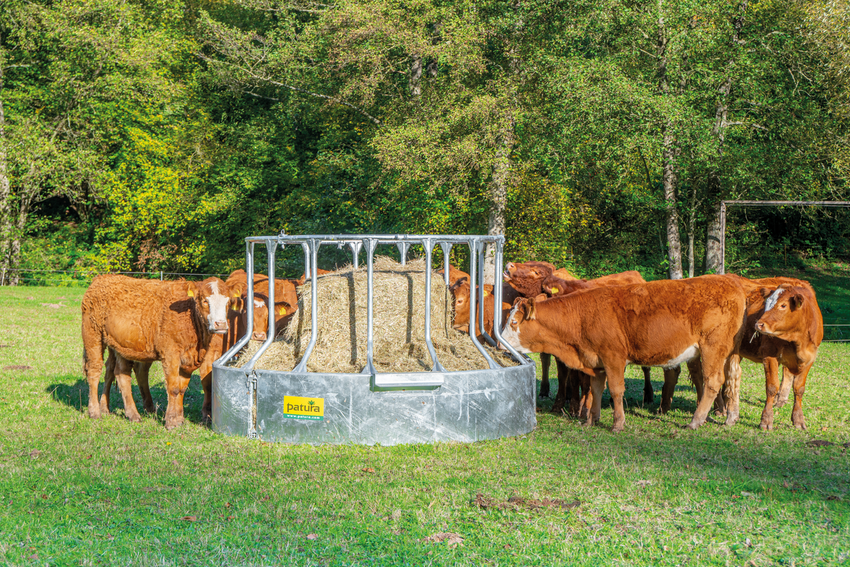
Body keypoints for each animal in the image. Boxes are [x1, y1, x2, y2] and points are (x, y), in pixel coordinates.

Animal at [81, 276, 234, 430]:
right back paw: (95, 412)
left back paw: (127, 413)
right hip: (92, 335)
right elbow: (173, 388)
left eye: (228, 301)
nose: (220, 324)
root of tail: (102, 278)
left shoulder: (187, 360)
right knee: (94, 370)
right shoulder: (171, 355)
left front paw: (179, 419)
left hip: (120, 346)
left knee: (119, 373)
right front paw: (171, 421)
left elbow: (182, 388)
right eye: (205, 301)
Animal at [500, 278, 744, 432]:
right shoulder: (596, 361)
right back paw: (727, 417)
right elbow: (597, 389)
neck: (582, 317)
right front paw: (592, 420)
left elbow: (616, 390)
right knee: (728, 381)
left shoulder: (613, 356)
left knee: (713, 382)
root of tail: (730, 283)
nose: (501, 344)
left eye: (514, 322)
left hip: (712, 347)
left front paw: (618, 423)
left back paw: (696, 420)